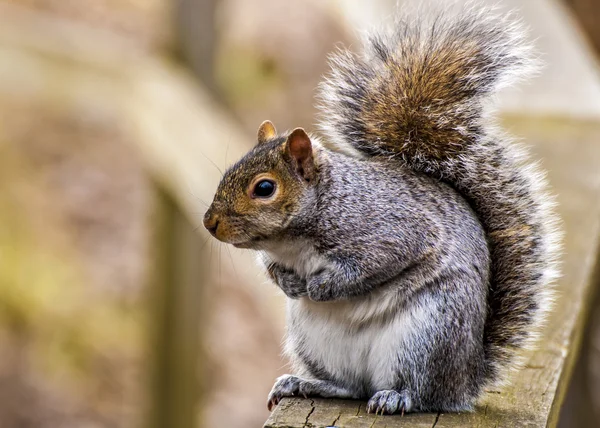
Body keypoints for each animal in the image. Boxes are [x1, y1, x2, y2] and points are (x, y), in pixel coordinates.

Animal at [204, 3, 560, 414]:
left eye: (264, 188)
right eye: (229, 171)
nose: (209, 223)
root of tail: (466, 379)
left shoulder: (389, 231)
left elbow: (372, 266)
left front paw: (322, 286)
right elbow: (272, 269)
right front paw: (289, 283)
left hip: (428, 333)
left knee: (422, 392)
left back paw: (395, 396)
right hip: (316, 341)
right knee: (350, 386)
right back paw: (305, 383)